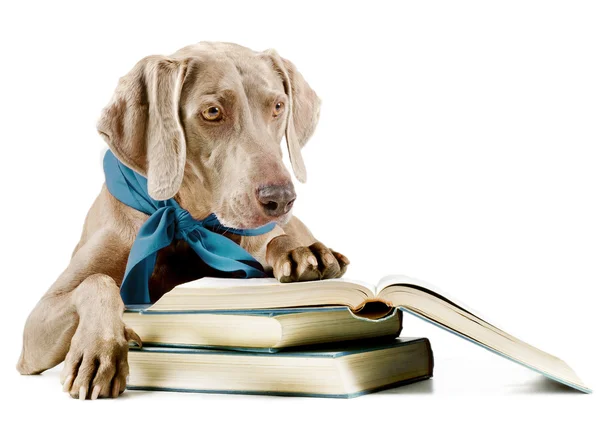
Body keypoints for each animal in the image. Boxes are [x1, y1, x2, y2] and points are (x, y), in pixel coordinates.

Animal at [17, 42, 346, 400]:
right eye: (212, 111)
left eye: (277, 106)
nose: (281, 199)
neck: (185, 222)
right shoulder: (34, 331)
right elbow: (96, 281)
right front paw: (99, 349)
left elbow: (276, 240)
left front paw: (300, 251)